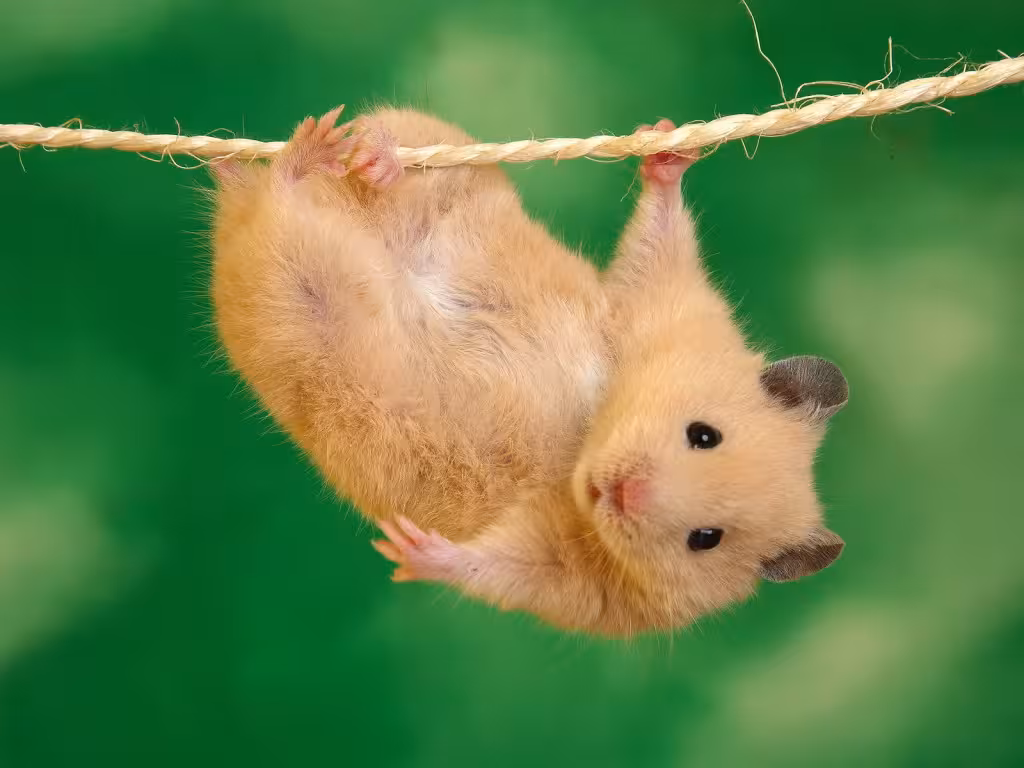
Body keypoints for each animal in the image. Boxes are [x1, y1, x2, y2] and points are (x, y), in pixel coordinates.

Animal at [207, 106, 848, 636]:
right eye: (704, 435)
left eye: (705, 540)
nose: (620, 492)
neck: (586, 440)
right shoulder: (656, 305)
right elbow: (658, 243)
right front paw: (666, 145)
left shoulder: (571, 579)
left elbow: (495, 567)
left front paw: (407, 549)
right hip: (447, 161)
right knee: (387, 154)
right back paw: (356, 154)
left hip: (292, 297)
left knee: (279, 214)